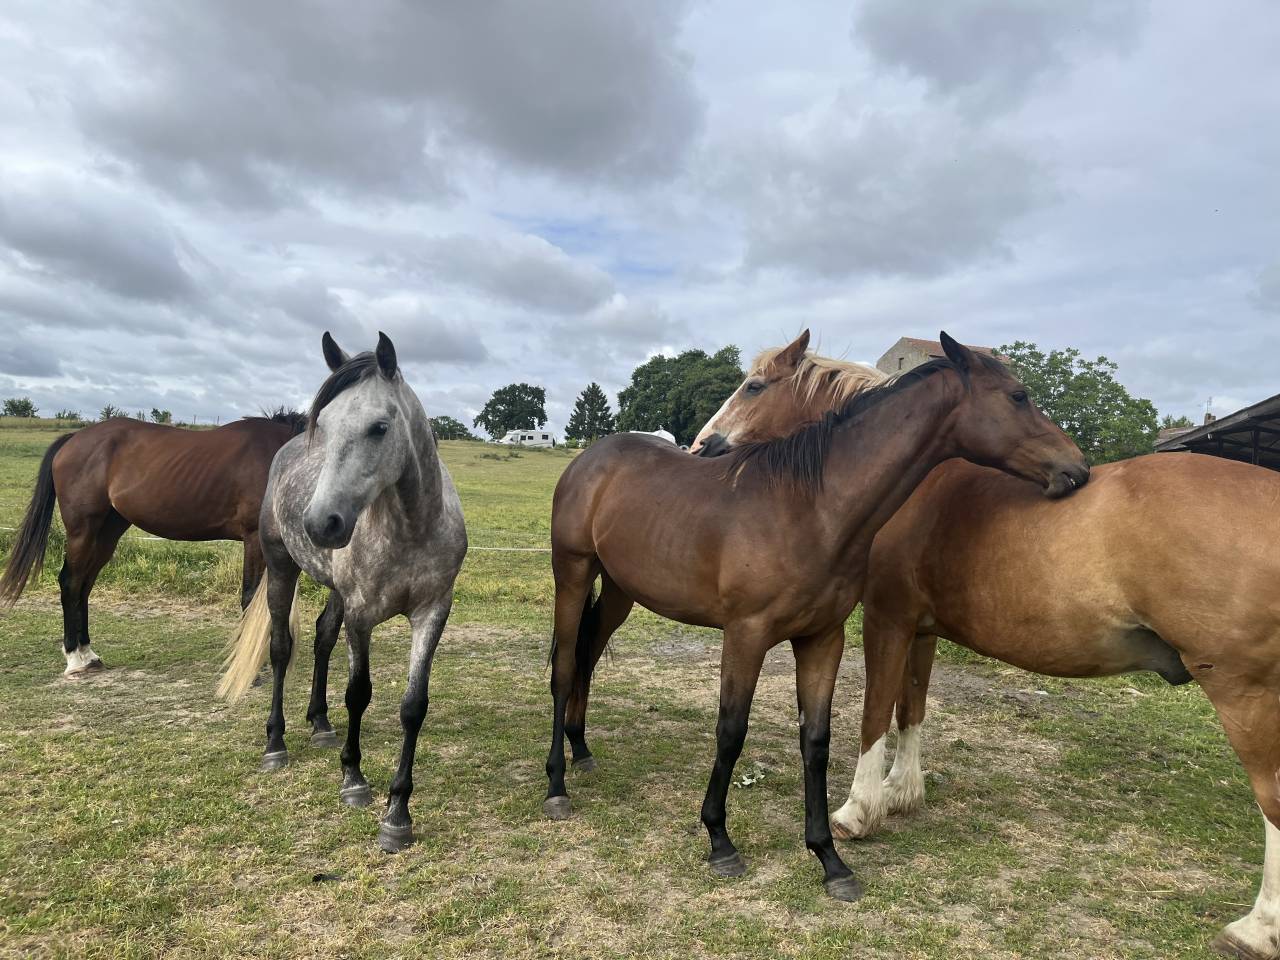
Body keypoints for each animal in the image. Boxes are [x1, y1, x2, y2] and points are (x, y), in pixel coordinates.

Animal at [0, 409, 348, 688]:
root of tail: (74, 439)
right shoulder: (254, 540)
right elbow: (252, 599)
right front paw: (253, 668)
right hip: (83, 530)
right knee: (71, 583)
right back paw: (74, 658)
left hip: (107, 532)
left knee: (84, 586)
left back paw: (88, 654)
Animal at [217, 331, 467, 854]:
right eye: (326, 426)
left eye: (379, 427)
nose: (320, 524)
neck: (411, 528)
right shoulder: (362, 615)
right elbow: (358, 693)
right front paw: (353, 779)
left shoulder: (432, 613)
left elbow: (413, 706)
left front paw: (397, 813)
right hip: (281, 569)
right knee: (281, 647)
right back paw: (276, 743)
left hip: (334, 591)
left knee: (321, 637)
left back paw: (320, 723)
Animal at [545, 333, 1087, 900]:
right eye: (1019, 396)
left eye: (754, 387)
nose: (1077, 467)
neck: (810, 509)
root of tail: (593, 456)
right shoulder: (746, 635)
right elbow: (731, 731)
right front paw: (720, 840)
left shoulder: (822, 639)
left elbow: (816, 741)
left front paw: (830, 858)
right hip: (573, 574)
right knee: (564, 667)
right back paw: (557, 786)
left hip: (620, 591)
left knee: (586, 656)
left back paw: (581, 749)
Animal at [692, 331, 1280, 959]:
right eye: (1019, 396)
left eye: (754, 387)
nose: (704, 445)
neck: (909, 482)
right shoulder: (922, 629)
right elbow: (912, 707)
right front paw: (902, 792)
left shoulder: (888, 620)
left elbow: (875, 712)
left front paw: (858, 810)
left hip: (1240, 689)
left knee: (1271, 799)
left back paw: (1256, 927)